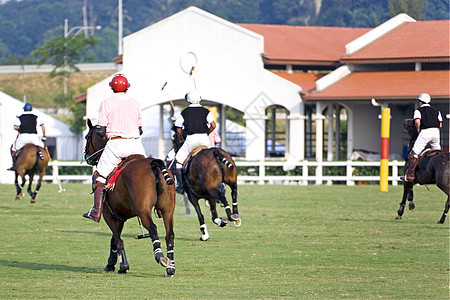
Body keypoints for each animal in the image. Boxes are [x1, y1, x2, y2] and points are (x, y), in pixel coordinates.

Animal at [84, 119, 176, 276]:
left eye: (87, 137)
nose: (86, 156)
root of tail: (154, 164)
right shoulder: (119, 217)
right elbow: (114, 240)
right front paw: (111, 263)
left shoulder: (109, 215)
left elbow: (118, 240)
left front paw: (123, 266)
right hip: (167, 210)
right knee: (170, 234)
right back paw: (170, 267)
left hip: (143, 210)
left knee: (153, 228)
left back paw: (160, 257)